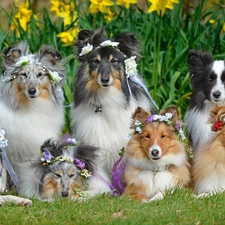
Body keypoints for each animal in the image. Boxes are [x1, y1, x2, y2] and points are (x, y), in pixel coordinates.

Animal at [0, 41, 66, 195]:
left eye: (40, 74)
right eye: (23, 74)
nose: (32, 91)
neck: (29, 106)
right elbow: (3, 170)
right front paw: (2, 189)